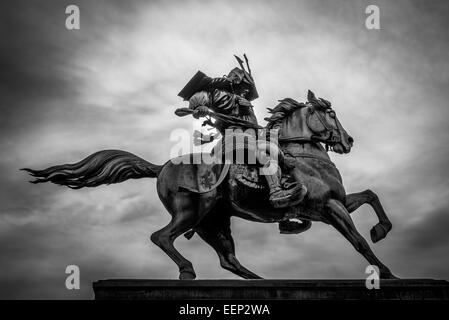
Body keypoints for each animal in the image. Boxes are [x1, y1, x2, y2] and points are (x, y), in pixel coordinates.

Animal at [22, 90, 396, 280]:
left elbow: (371, 196)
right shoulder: (328, 207)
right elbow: (359, 241)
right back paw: (187, 271)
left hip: (213, 222)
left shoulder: (336, 203)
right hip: (192, 212)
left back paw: (262, 282)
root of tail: (161, 168)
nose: (348, 141)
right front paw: (386, 272)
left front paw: (382, 230)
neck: (303, 153)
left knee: (228, 260)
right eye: (330, 112)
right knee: (161, 237)